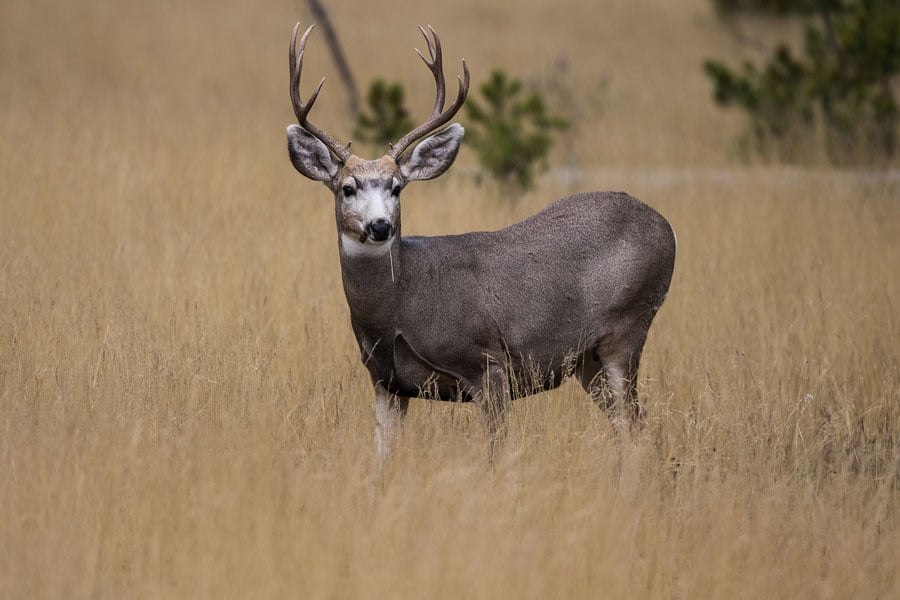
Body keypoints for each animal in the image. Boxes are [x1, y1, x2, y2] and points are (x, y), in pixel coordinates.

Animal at [285, 22, 676, 465]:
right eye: (347, 188)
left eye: (397, 187)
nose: (381, 225)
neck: (403, 303)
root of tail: (665, 226)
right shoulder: (386, 381)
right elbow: (381, 460)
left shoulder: (488, 362)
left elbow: (496, 454)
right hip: (587, 360)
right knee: (628, 427)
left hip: (627, 324)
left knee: (637, 425)